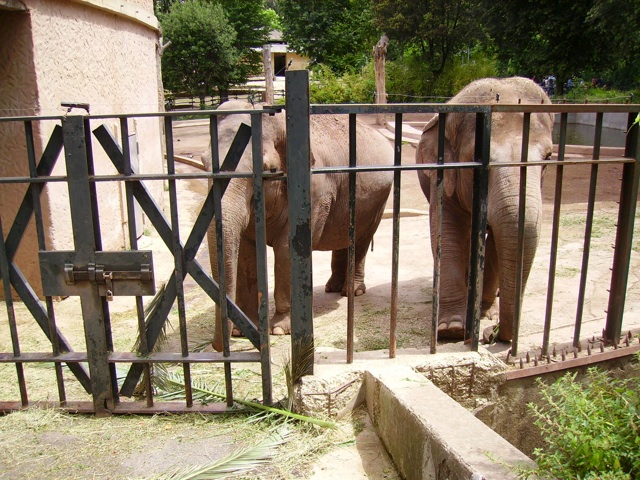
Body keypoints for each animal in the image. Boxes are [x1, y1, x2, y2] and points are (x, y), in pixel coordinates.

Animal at [206, 98, 396, 352]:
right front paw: (243, 330)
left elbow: (286, 249)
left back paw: (351, 291)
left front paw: (279, 330)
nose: (218, 346)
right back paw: (332, 288)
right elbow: (246, 253)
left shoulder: (314, 191)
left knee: (361, 240)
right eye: (203, 163)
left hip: (378, 200)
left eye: (268, 171)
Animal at [416, 77, 556, 344]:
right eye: (478, 157)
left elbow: (493, 245)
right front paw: (451, 328)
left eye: (548, 157)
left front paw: (484, 313)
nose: (492, 334)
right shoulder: (442, 177)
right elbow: (446, 232)